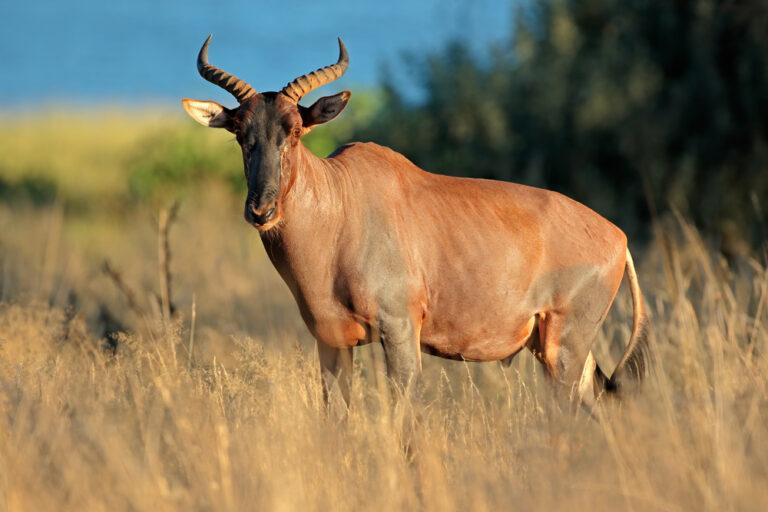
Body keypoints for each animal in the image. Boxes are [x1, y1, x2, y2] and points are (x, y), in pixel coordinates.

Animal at [182, 36, 649, 413]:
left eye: (296, 130)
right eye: (239, 132)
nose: (261, 210)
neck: (342, 204)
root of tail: (618, 238)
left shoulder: (400, 331)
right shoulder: (331, 342)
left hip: (563, 346)